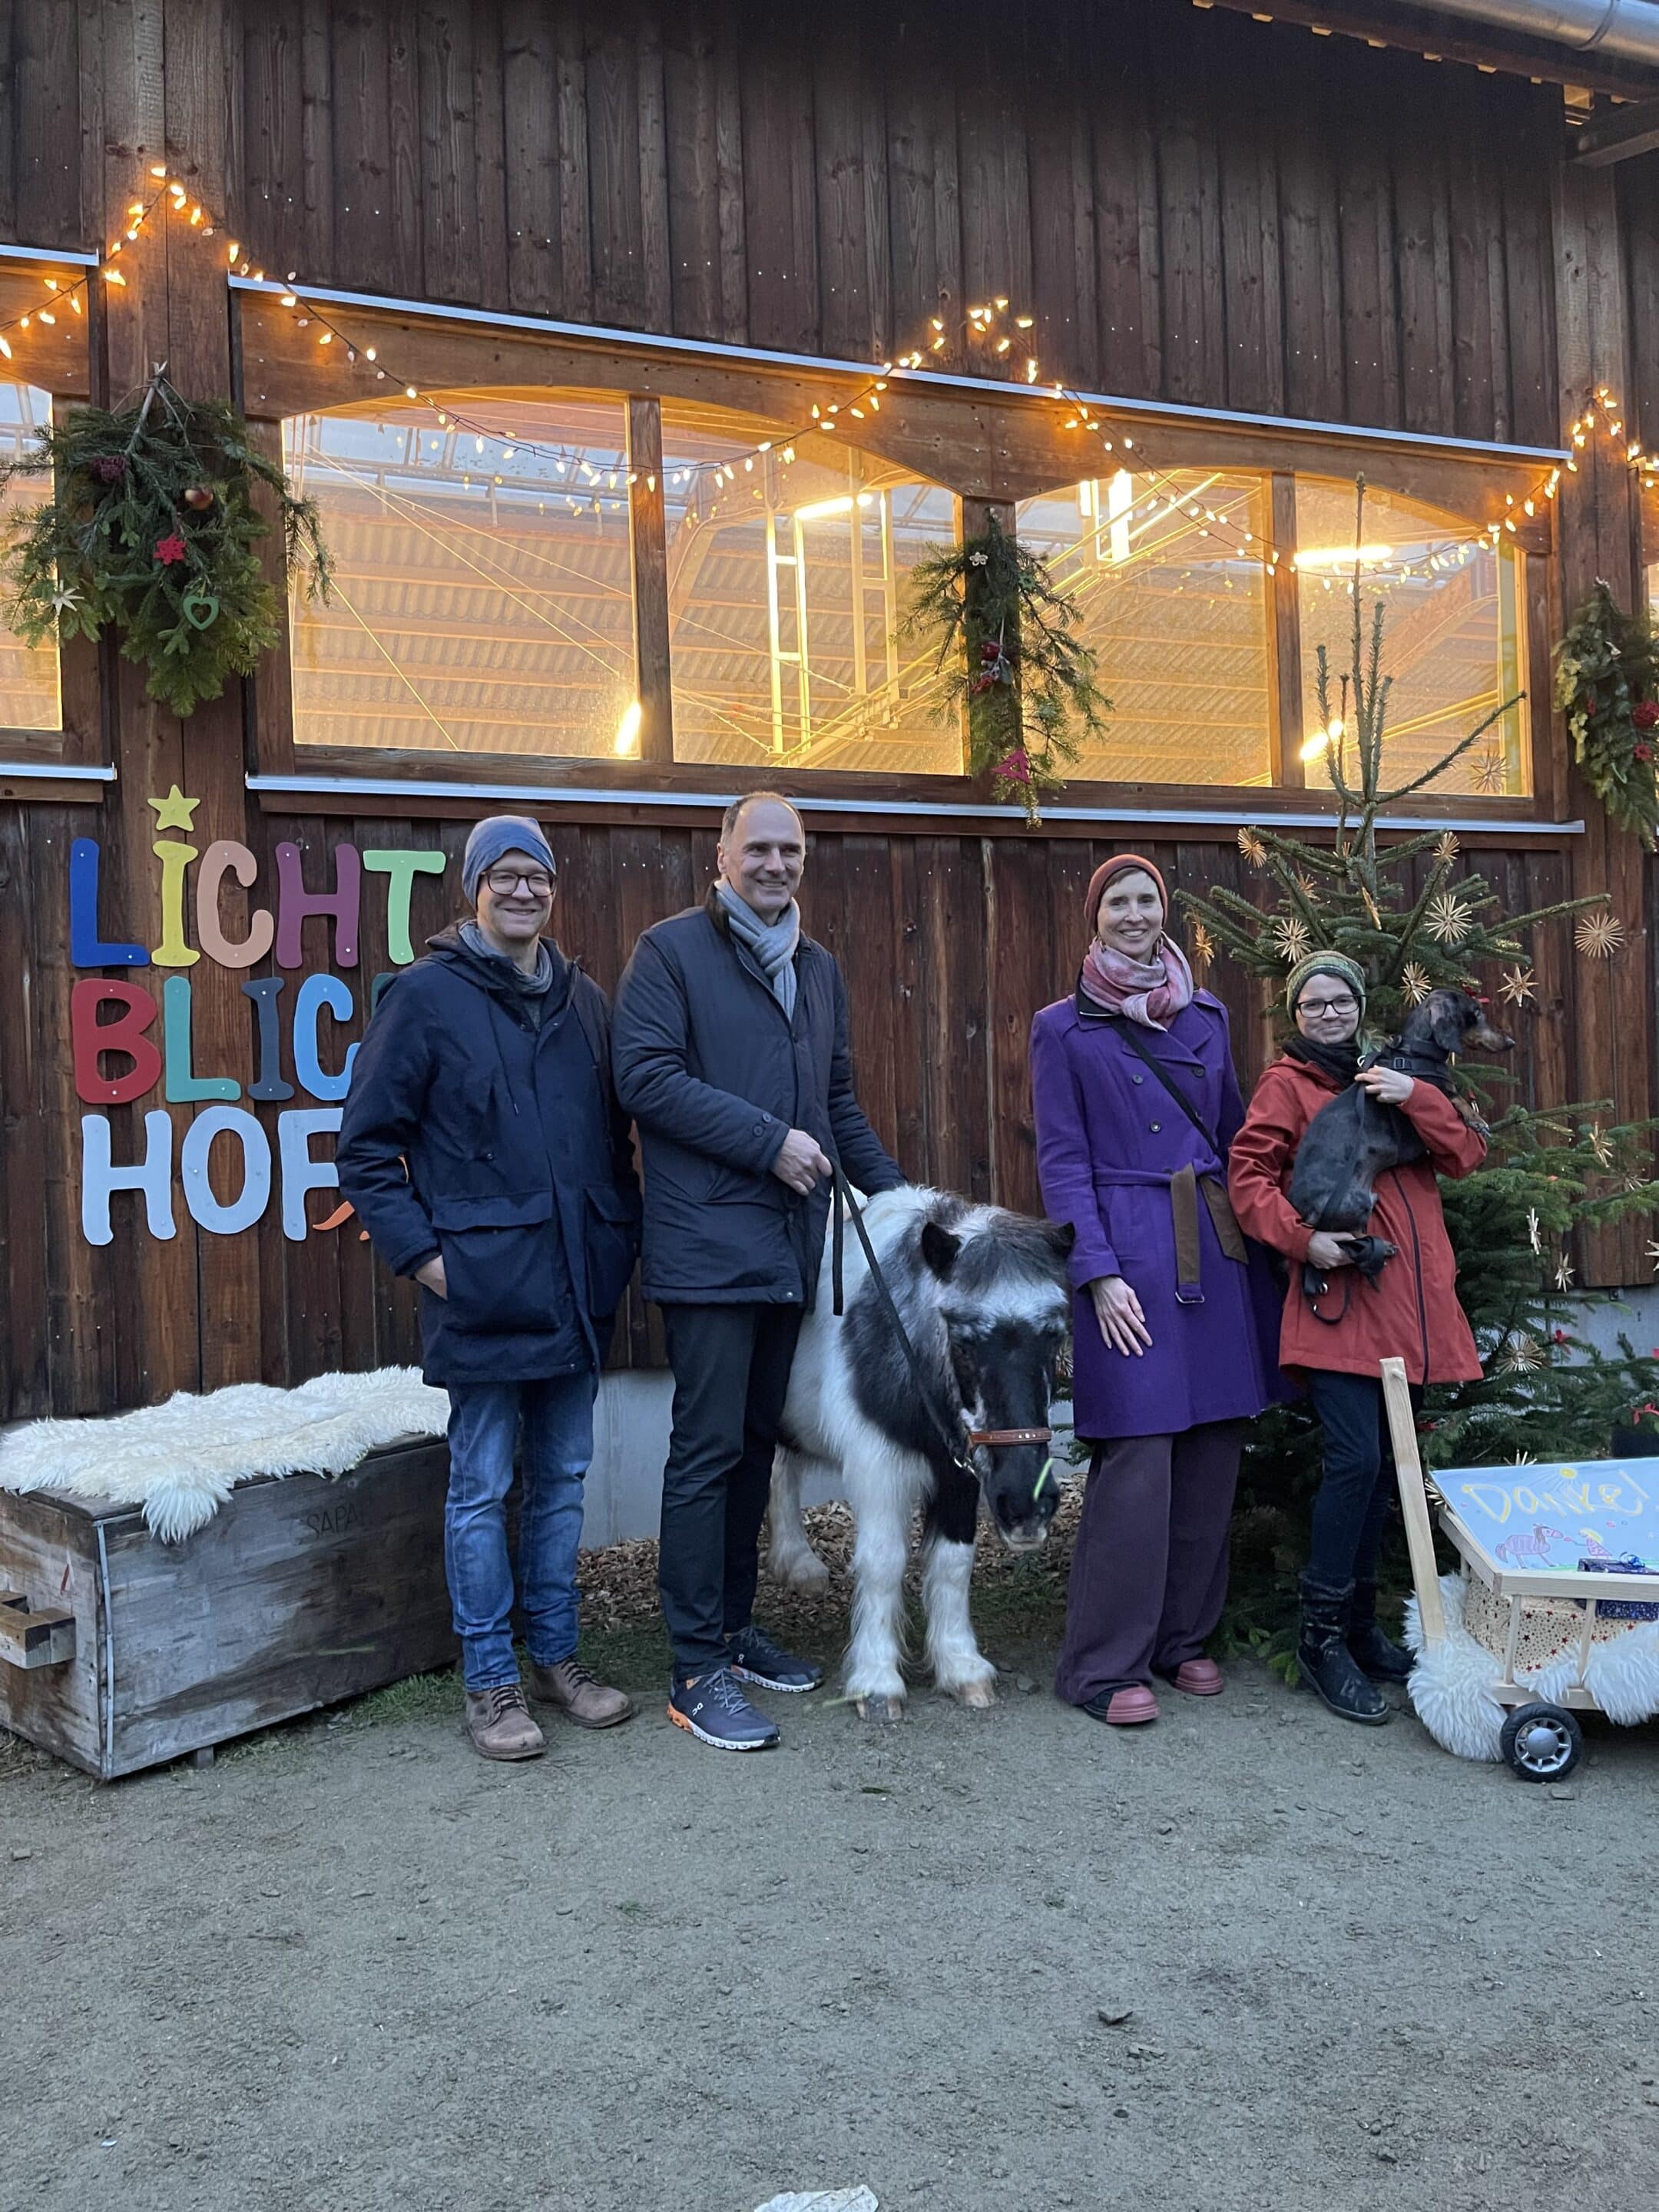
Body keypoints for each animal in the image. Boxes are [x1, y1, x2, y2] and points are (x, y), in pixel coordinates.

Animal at [1289, 987, 1513, 1292]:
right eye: (1476, 1012)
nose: (1511, 1042)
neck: (1413, 1053)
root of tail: (1307, 1212)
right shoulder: (1433, 1092)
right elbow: (1452, 1094)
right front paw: (1476, 1119)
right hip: (1358, 1201)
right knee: (1349, 1241)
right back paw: (1382, 1248)